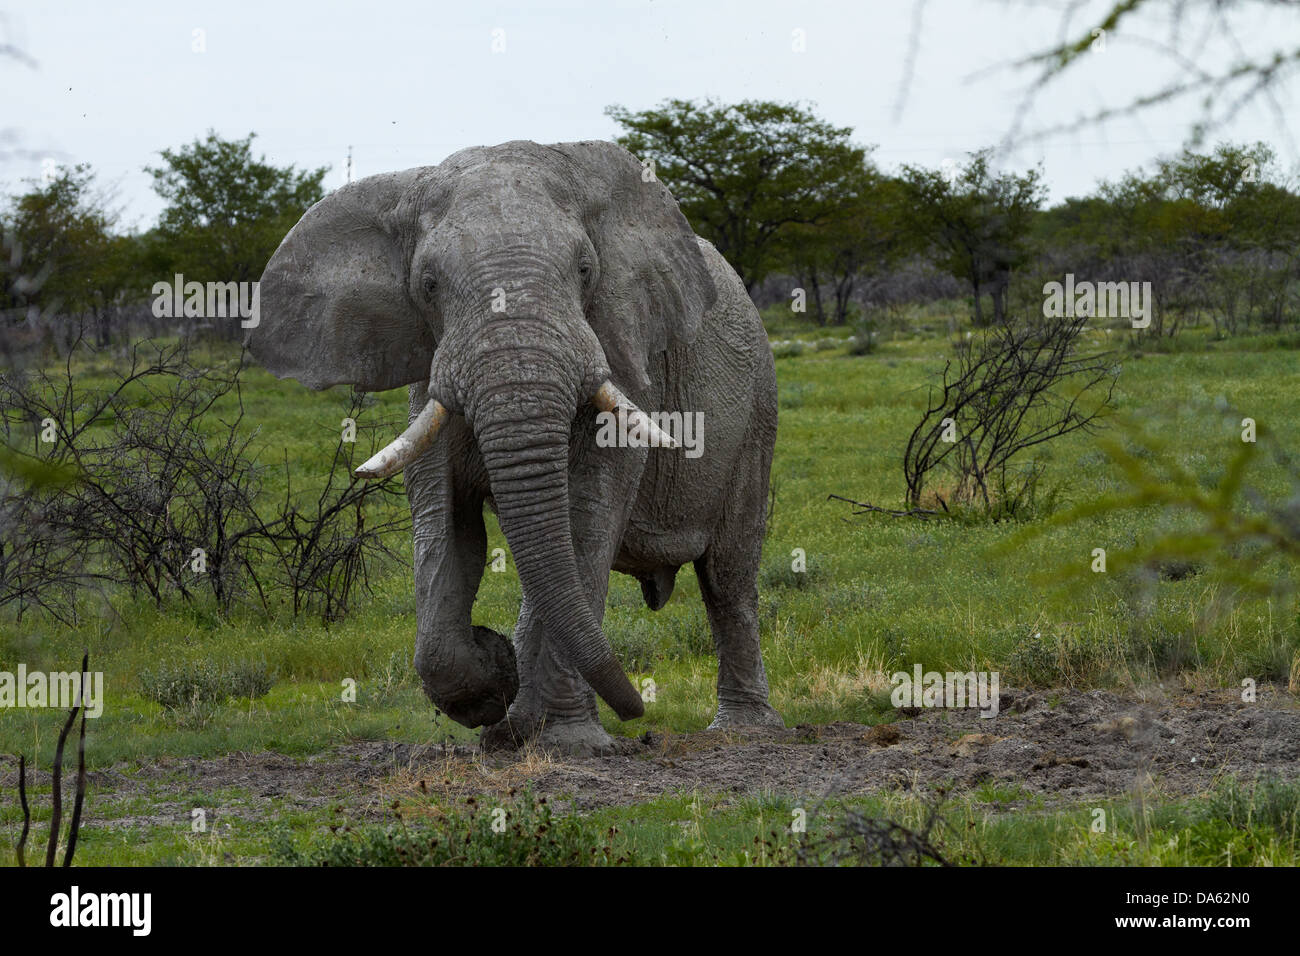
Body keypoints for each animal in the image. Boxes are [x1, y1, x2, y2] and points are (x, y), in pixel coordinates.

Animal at [247, 139, 782, 753]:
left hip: (758, 408)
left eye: (585, 271)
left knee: (727, 573)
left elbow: (587, 514)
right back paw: (512, 728)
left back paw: (745, 730)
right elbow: (446, 522)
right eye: (428, 284)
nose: (638, 712)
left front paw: (569, 742)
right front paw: (495, 680)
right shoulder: (429, 372)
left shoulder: (620, 354)